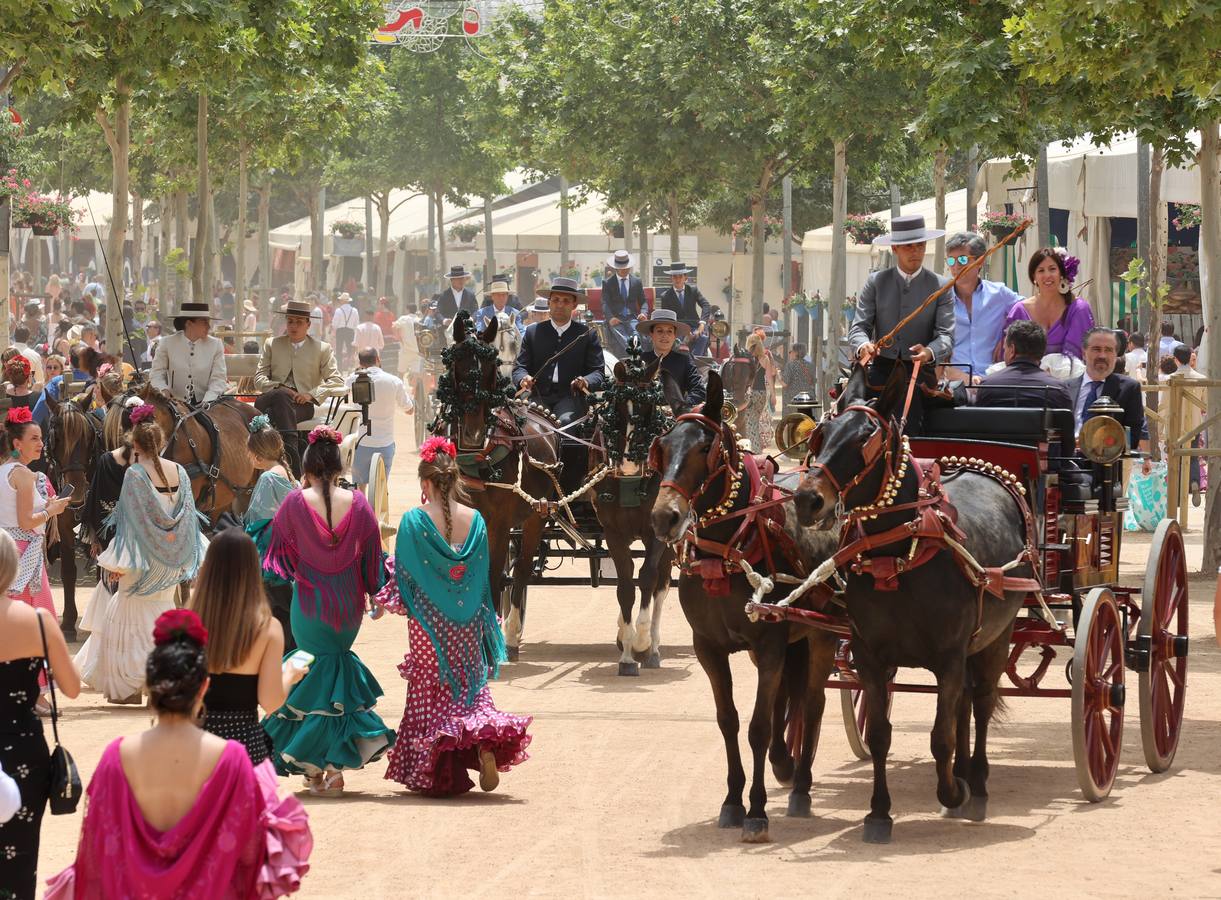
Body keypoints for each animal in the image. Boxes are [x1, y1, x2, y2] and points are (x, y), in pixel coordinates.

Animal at [439, 315, 561, 659]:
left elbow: (493, 573)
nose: (473, 432)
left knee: (520, 571)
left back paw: (512, 633)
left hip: (536, 517)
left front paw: (488, 641)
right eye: (458, 366)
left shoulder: (500, 523)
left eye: (491, 370)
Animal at [588, 359, 693, 674]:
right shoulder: (613, 532)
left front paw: (643, 642)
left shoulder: (655, 533)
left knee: (661, 584)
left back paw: (652, 647)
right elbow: (625, 586)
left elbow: (647, 578)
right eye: (617, 409)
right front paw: (626, 654)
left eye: (648, 408)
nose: (628, 463)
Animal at [649, 366, 840, 840]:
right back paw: (785, 764)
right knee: (788, 697)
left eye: (705, 447)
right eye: (662, 447)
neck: (729, 547)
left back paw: (801, 786)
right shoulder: (709, 648)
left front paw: (756, 810)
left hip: (822, 633)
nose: (664, 517)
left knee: (812, 702)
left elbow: (758, 725)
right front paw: (733, 800)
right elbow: (730, 720)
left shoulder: (770, 644)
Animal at [791, 361, 1040, 840]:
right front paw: (879, 813)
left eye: (864, 439)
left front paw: (952, 794)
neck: (899, 554)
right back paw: (964, 774)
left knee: (981, 704)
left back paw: (976, 786)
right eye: (821, 434)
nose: (807, 499)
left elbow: (940, 737)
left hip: (996, 637)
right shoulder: (870, 656)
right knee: (964, 705)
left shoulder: (948, 656)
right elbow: (882, 735)